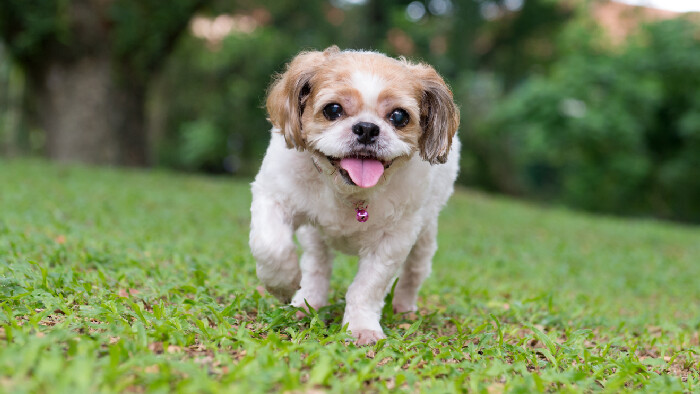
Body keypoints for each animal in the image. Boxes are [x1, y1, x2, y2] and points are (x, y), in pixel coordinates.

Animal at [250, 44, 460, 344]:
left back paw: (404, 308)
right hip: (314, 235)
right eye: (333, 109)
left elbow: (367, 287)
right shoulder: (274, 196)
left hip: (425, 234)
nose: (367, 128)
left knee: (414, 272)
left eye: (399, 116)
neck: (348, 192)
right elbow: (272, 247)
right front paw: (283, 284)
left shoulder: (393, 239)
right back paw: (307, 300)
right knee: (317, 264)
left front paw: (362, 327)